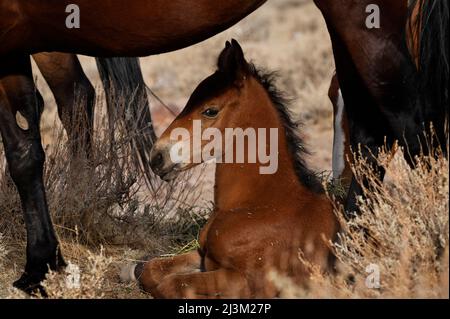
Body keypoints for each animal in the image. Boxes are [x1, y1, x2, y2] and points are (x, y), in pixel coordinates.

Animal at [121, 40, 340, 300]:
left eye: (210, 110)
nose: (157, 156)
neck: (260, 204)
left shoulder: (247, 281)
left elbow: (171, 284)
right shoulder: (202, 255)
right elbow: (150, 269)